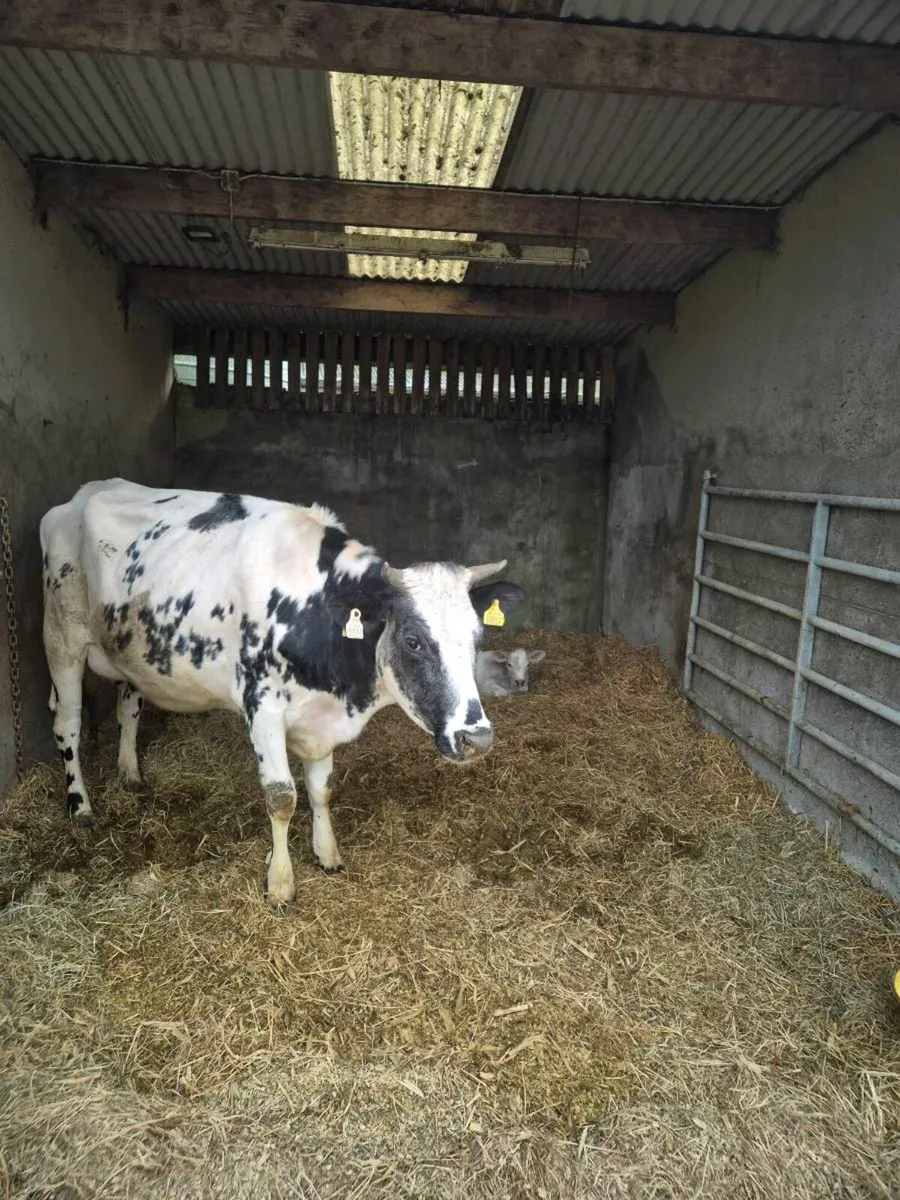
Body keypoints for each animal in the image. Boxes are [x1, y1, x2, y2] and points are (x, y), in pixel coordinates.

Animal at [40, 479, 526, 909]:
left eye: (478, 636)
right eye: (414, 641)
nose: (477, 738)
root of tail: (82, 494)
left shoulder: (322, 719)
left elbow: (321, 789)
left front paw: (326, 853)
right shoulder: (262, 708)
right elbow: (282, 798)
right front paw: (280, 883)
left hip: (128, 652)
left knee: (129, 706)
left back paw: (130, 772)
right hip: (61, 640)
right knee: (67, 723)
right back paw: (80, 805)